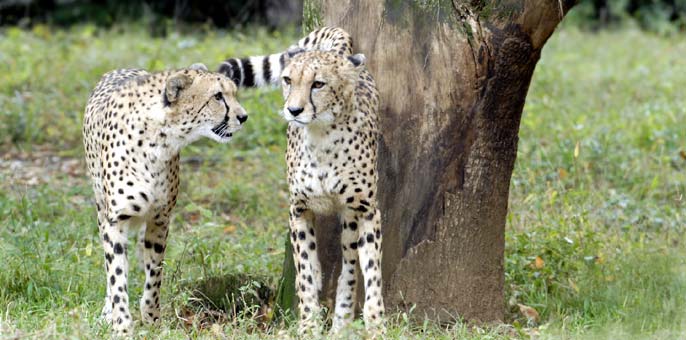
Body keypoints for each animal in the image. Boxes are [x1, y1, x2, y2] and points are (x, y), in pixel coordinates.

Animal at [83, 63, 249, 334]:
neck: (158, 138)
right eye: (218, 96)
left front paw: (151, 318)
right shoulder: (115, 219)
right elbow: (116, 274)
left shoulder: (160, 218)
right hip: (101, 207)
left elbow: (155, 274)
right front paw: (121, 325)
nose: (243, 117)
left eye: (234, 93)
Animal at [219, 26, 388, 334]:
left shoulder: (367, 210)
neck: (322, 135)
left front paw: (376, 326)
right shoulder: (298, 210)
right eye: (288, 80)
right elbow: (305, 273)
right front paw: (309, 325)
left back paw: (341, 321)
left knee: (349, 265)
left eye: (318, 84)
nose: (294, 110)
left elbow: (372, 272)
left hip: (349, 217)